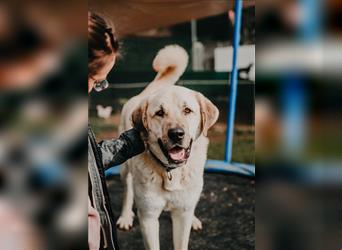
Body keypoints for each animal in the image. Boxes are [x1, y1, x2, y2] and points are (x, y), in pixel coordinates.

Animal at [117, 45, 219, 250]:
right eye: (159, 113)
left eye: (187, 110)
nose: (177, 134)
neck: (172, 171)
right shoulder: (148, 218)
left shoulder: (182, 214)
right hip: (124, 169)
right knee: (127, 191)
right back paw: (125, 216)